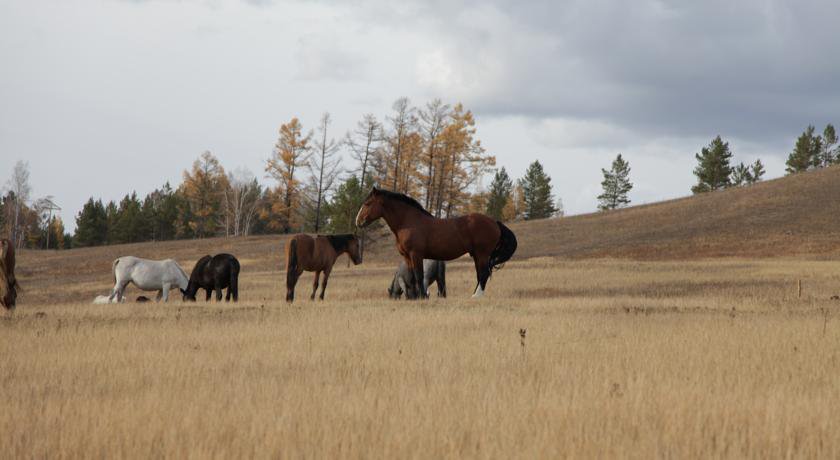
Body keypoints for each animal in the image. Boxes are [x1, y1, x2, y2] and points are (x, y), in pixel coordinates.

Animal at [352, 187, 516, 298]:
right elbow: (411, 278)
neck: (409, 222)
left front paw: (421, 297)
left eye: (367, 203)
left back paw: (476, 296)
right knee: (480, 274)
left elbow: (418, 276)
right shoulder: (407, 257)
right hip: (477, 255)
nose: (358, 222)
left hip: (482, 254)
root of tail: (495, 222)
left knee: (483, 274)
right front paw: (414, 297)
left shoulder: (416, 255)